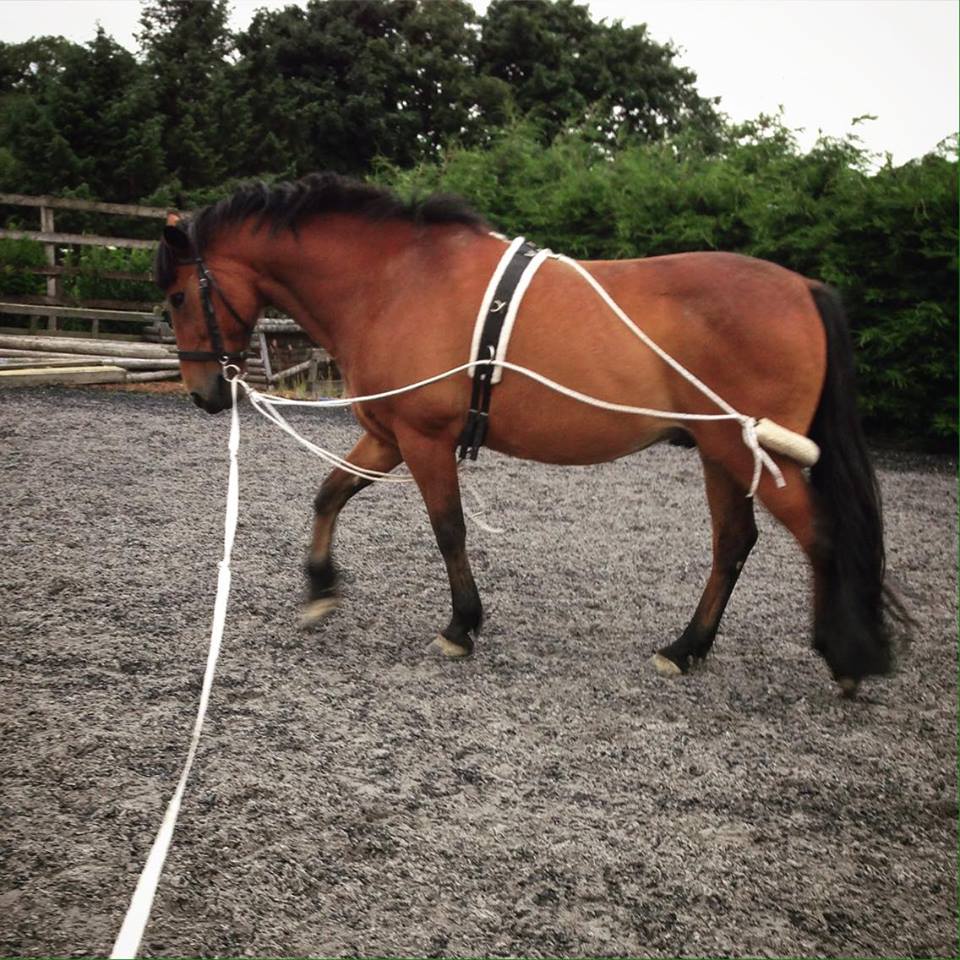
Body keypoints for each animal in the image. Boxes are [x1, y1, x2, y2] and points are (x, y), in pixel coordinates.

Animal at [155, 172, 904, 696]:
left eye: (179, 296)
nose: (203, 394)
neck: (394, 282)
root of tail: (803, 287)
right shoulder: (389, 435)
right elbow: (329, 493)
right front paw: (319, 589)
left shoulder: (424, 440)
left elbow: (448, 528)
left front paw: (461, 626)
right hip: (724, 457)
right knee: (734, 545)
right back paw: (685, 649)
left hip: (751, 457)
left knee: (818, 535)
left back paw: (844, 657)